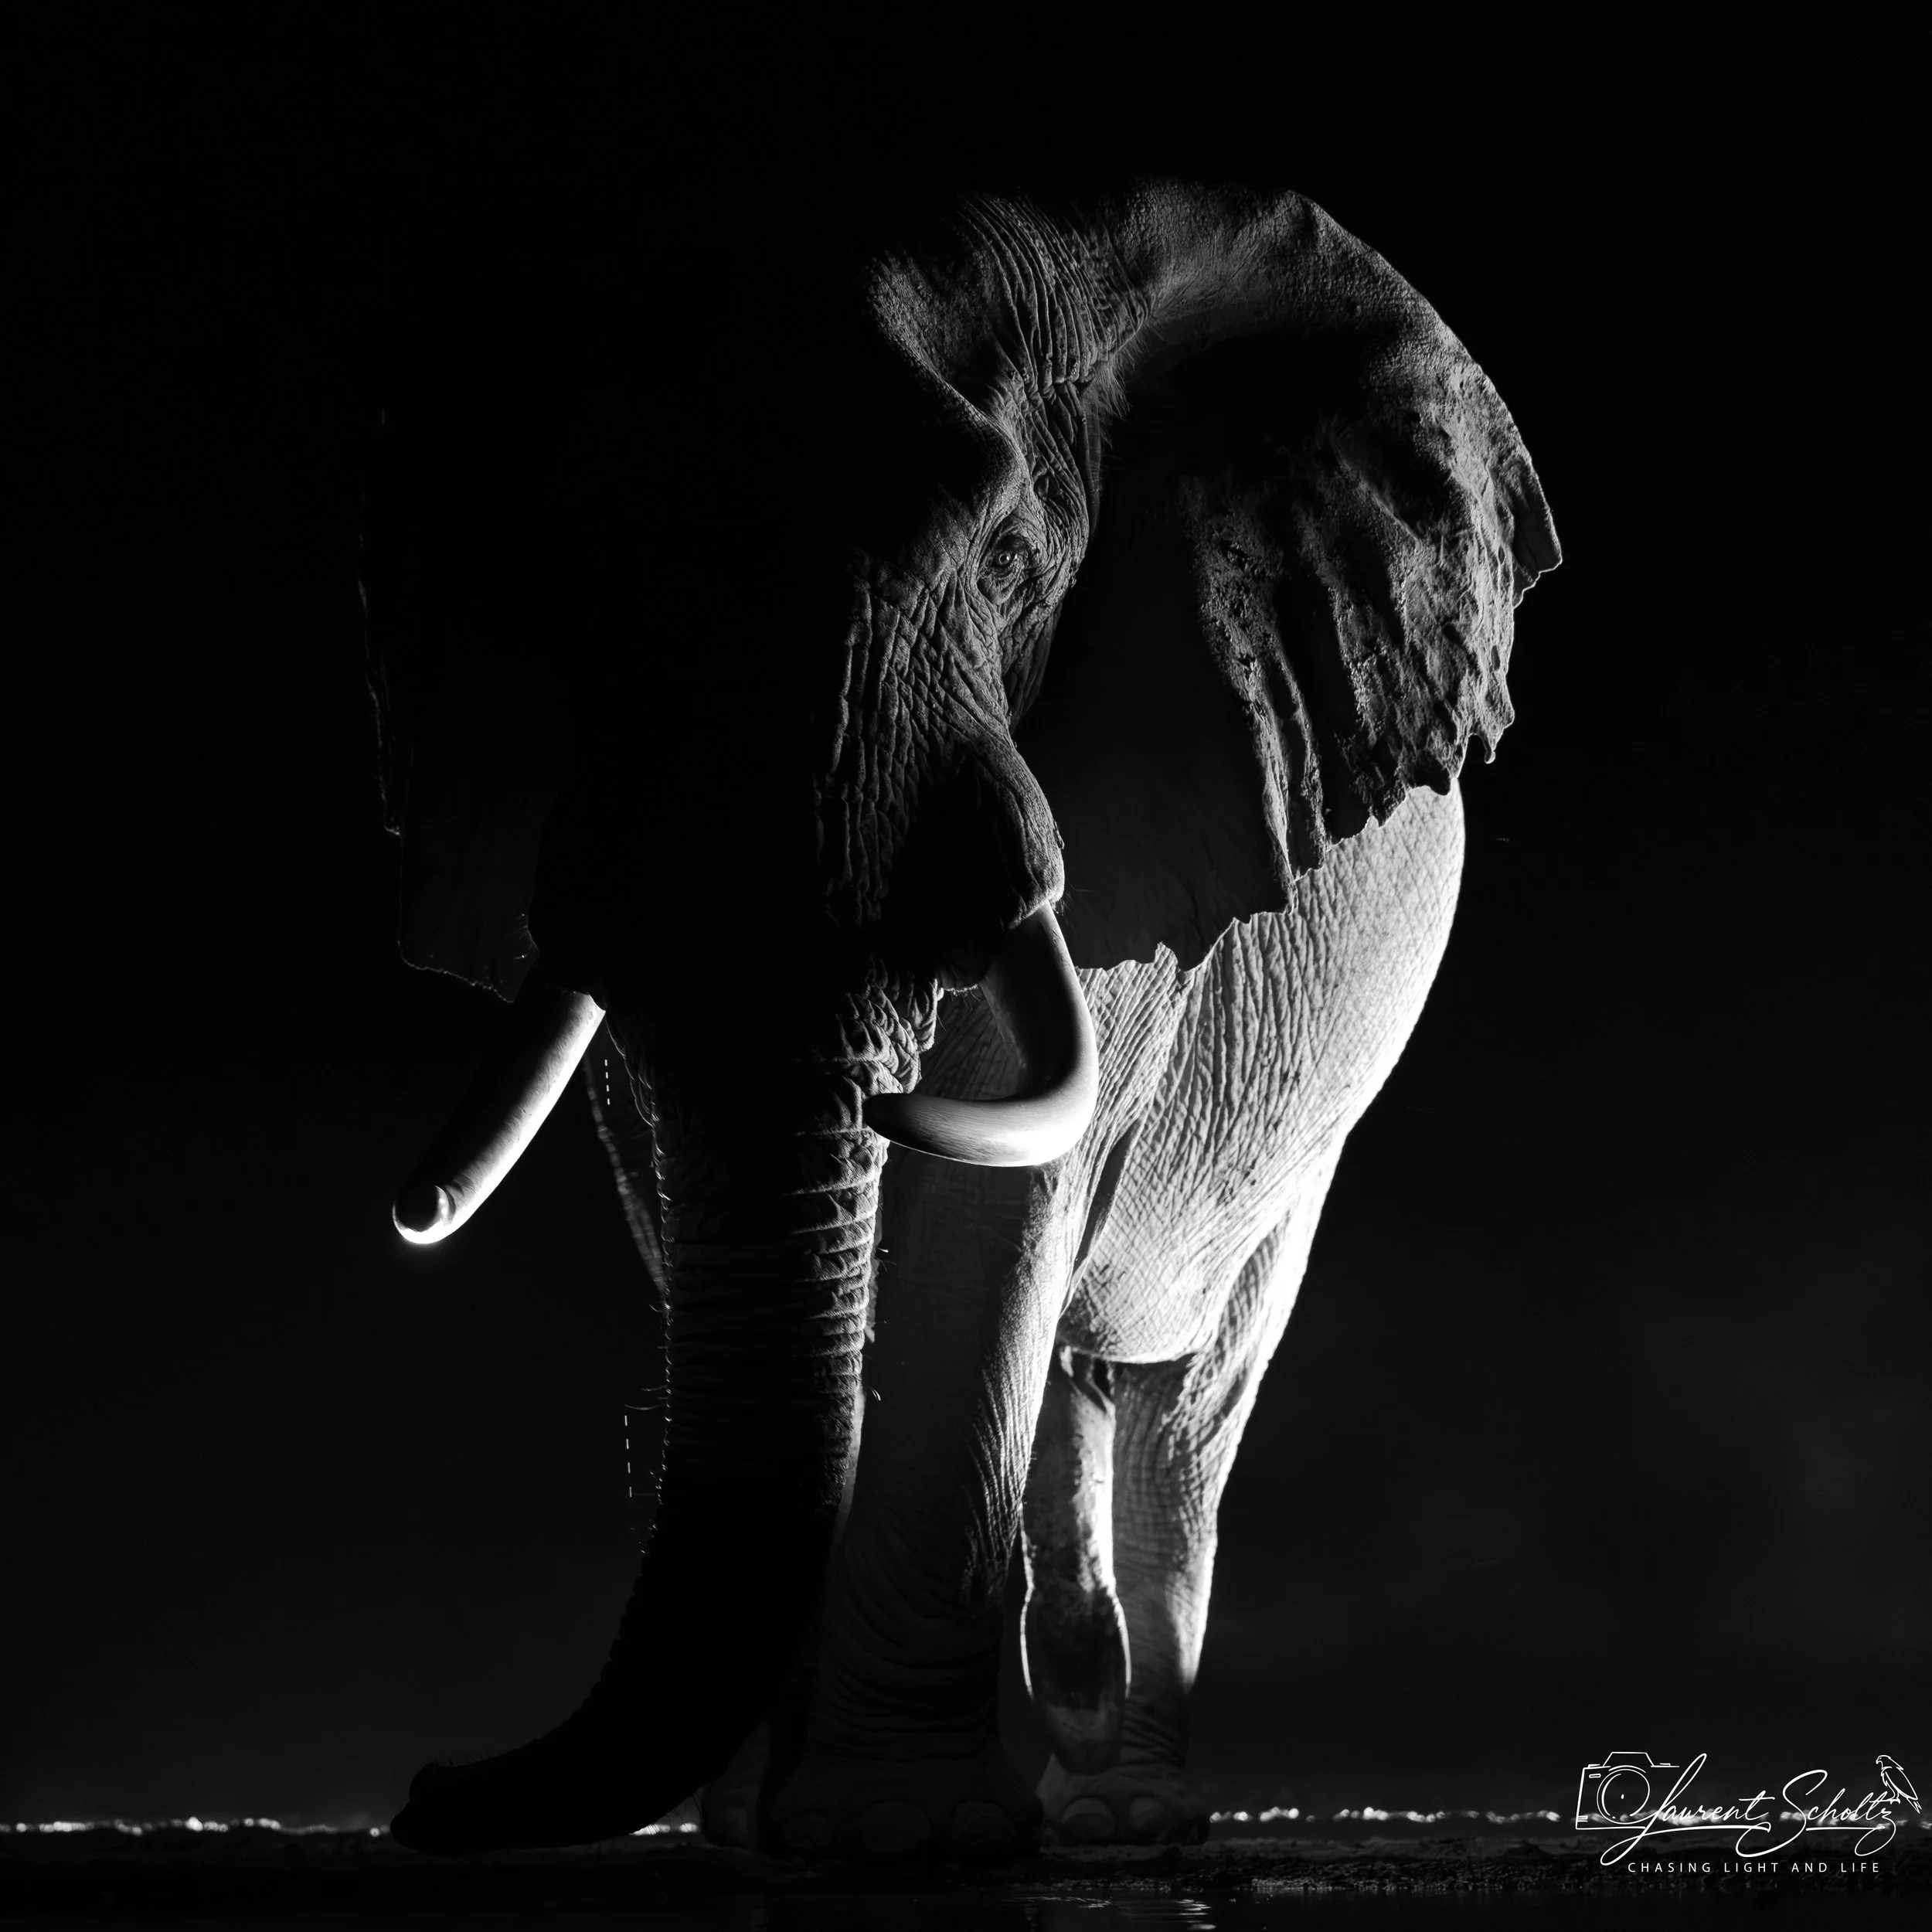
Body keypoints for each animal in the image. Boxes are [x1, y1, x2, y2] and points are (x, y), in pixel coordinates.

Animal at [368, 181, 1559, 1860]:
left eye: (1006, 564)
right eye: (577, 575)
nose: (431, 1791)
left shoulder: (1130, 790)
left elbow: (992, 1200)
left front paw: (896, 1828)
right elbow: (689, 1172)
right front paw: (775, 1820)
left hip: (1309, 1126)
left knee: (1180, 1394)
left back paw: (1121, 1800)